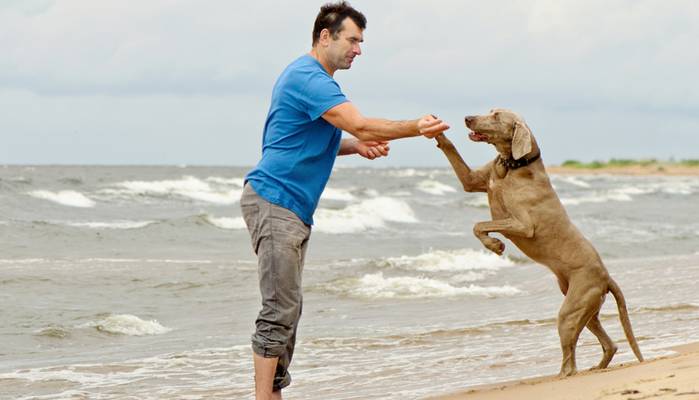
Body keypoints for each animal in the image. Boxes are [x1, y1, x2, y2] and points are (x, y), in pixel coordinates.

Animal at [438, 108, 644, 376]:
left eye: (496, 116)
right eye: (489, 111)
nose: (467, 118)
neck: (512, 165)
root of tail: (606, 276)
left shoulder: (522, 225)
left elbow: (479, 224)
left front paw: (495, 245)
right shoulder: (472, 181)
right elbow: (455, 157)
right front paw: (436, 132)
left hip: (571, 309)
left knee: (570, 360)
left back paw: (561, 375)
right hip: (586, 308)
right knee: (609, 344)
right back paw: (597, 368)